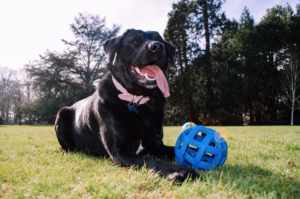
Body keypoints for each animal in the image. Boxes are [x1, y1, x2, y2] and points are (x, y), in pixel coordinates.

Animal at [55, 28, 200, 183]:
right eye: (134, 40)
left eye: (159, 40)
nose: (158, 46)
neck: (138, 101)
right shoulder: (120, 151)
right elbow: (151, 160)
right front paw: (181, 171)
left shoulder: (156, 146)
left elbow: (181, 150)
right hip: (62, 112)